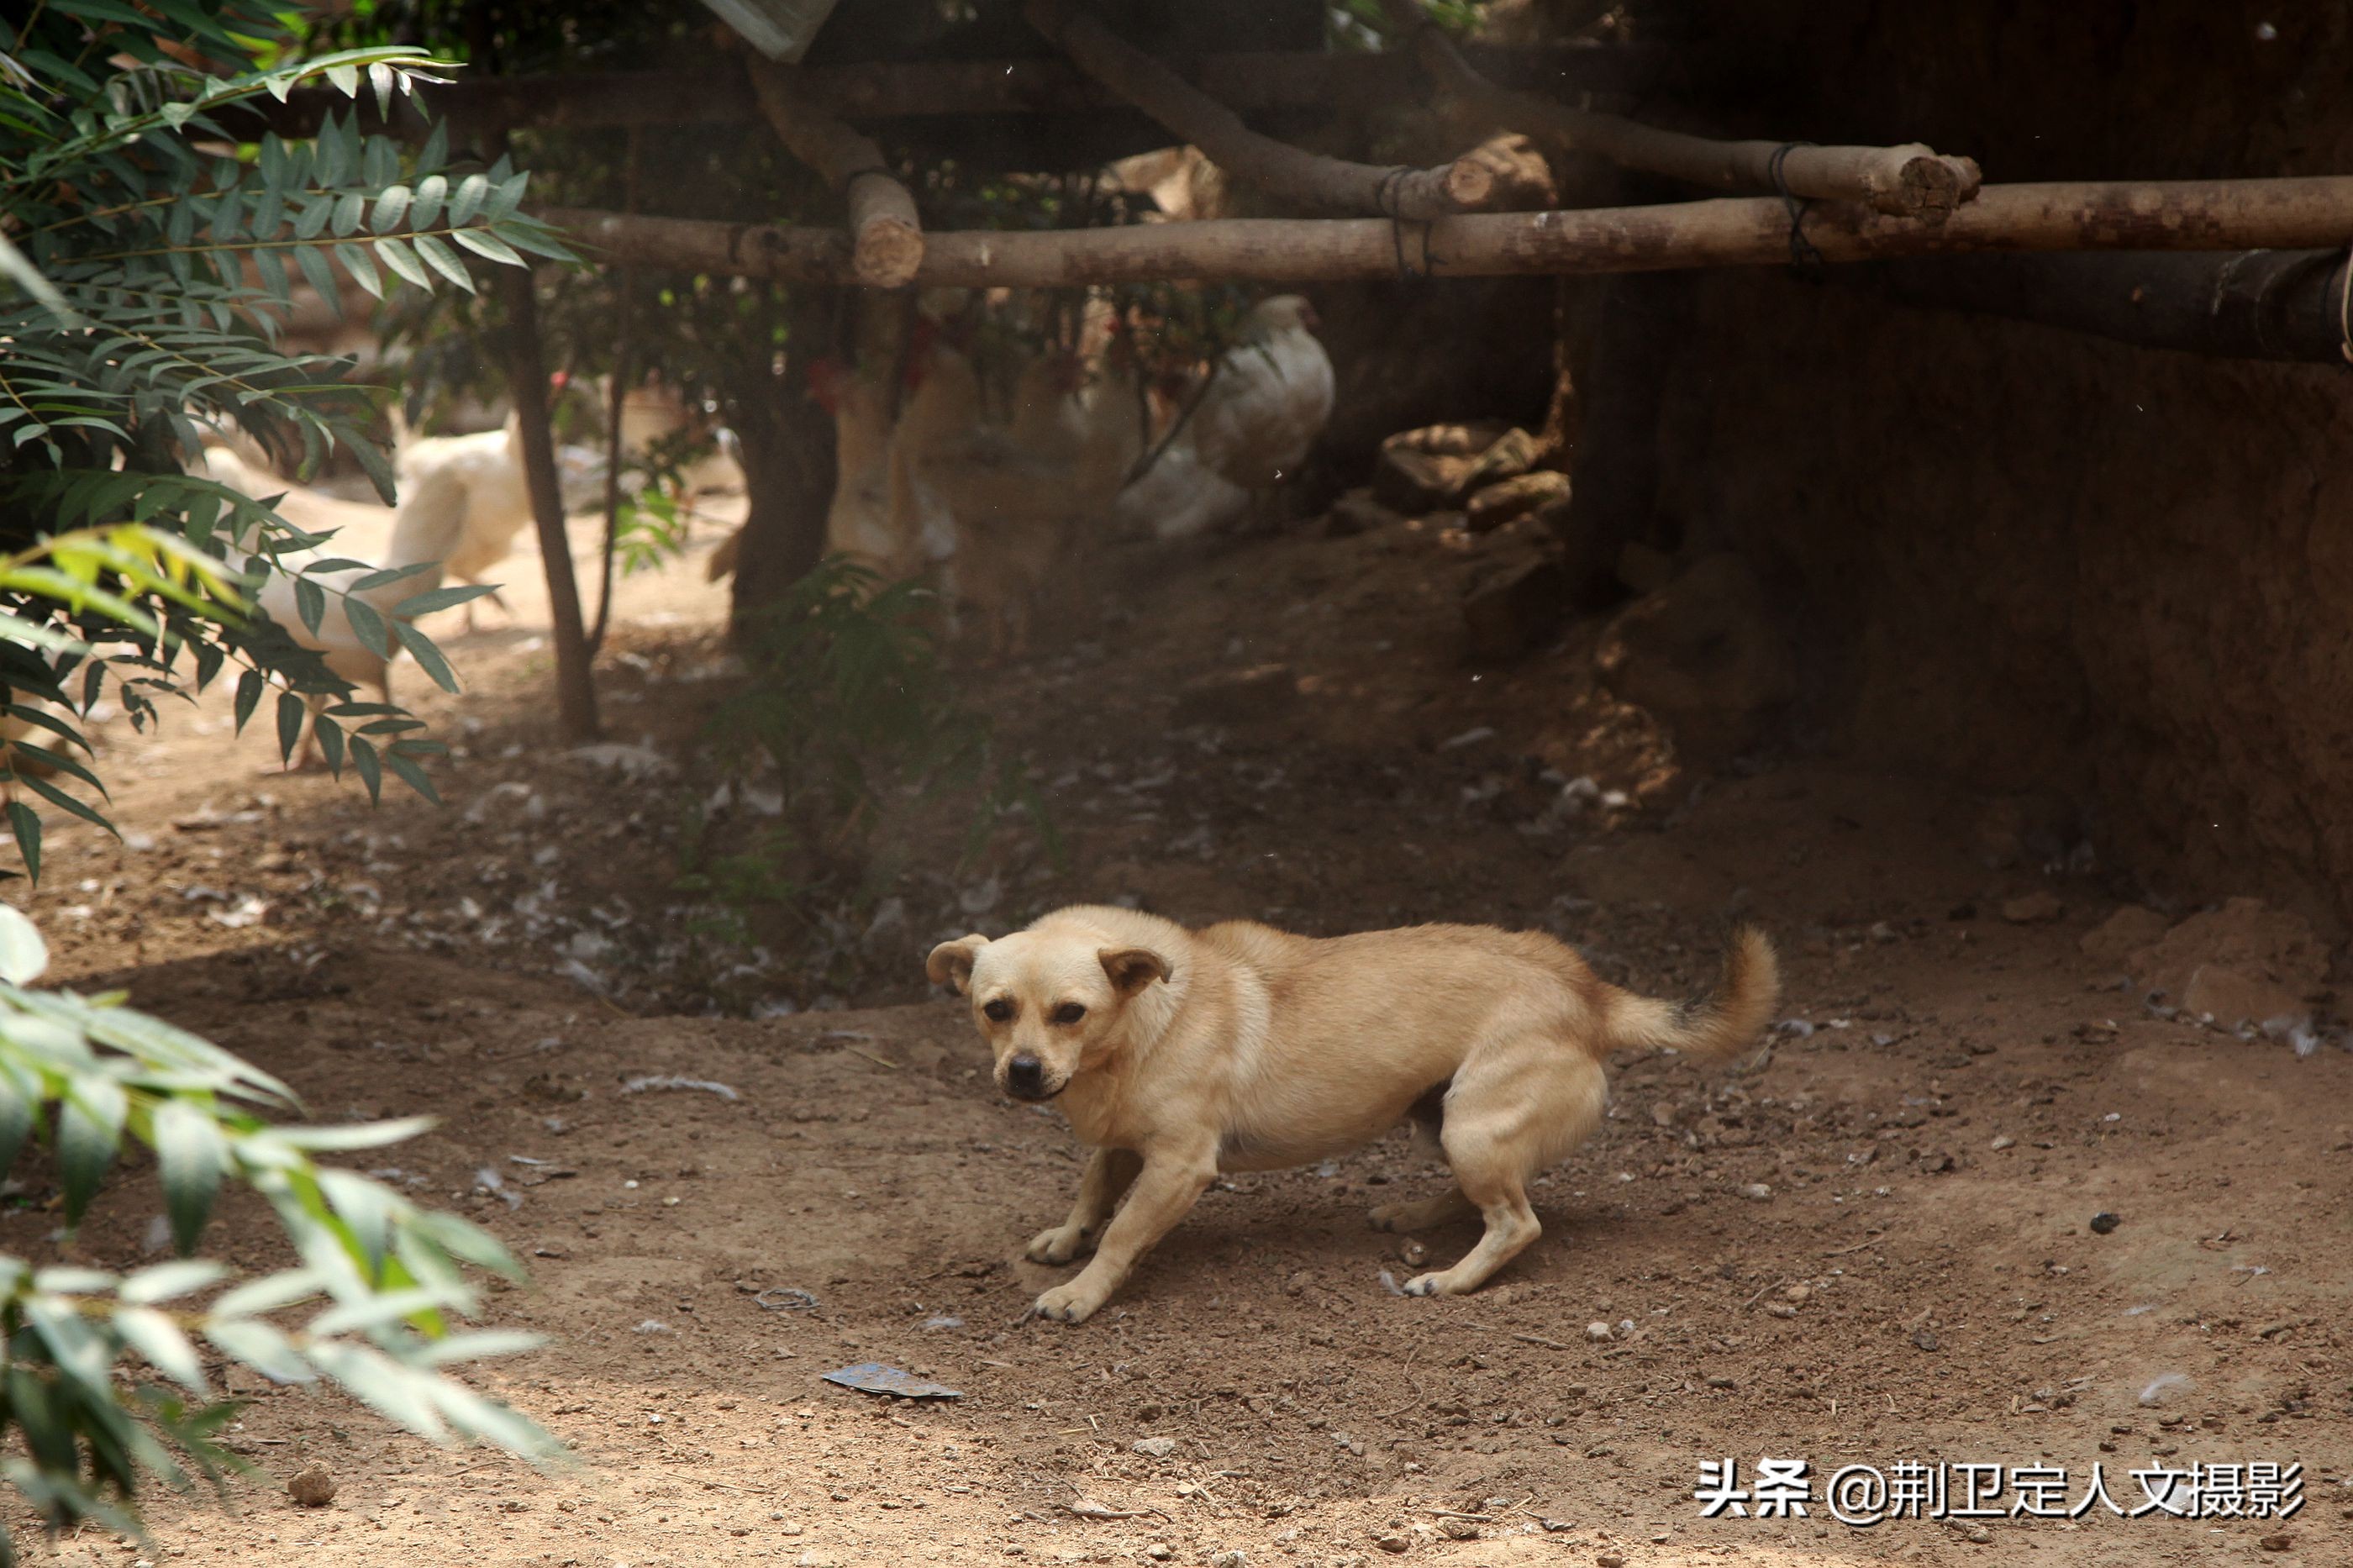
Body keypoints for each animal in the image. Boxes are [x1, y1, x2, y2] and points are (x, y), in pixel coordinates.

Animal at [927, 903, 1769, 1318]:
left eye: (1070, 1012)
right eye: (995, 1010)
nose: (1023, 1073)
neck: (1133, 1033)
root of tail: (1592, 994)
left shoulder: (1177, 1167)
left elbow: (1123, 1232)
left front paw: (1082, 1293)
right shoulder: (1123, 1140)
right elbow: (1093, 1189)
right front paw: (1066, 1240)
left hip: (1472, 1123)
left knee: (1518, 1222)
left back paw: (1450, 1281)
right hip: (1445, 1121)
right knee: (1493, 1197)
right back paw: (1414, 1217)